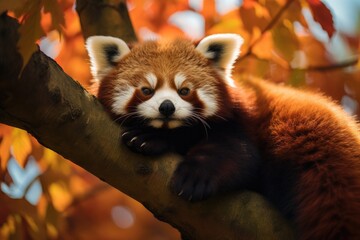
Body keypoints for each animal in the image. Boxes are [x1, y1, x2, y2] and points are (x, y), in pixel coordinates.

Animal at [86, 34, 360, 240]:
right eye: (146, 90)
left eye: (184, 91)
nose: (167, 107)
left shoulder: (239, 123)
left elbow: (237, 154)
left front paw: (191, 172)